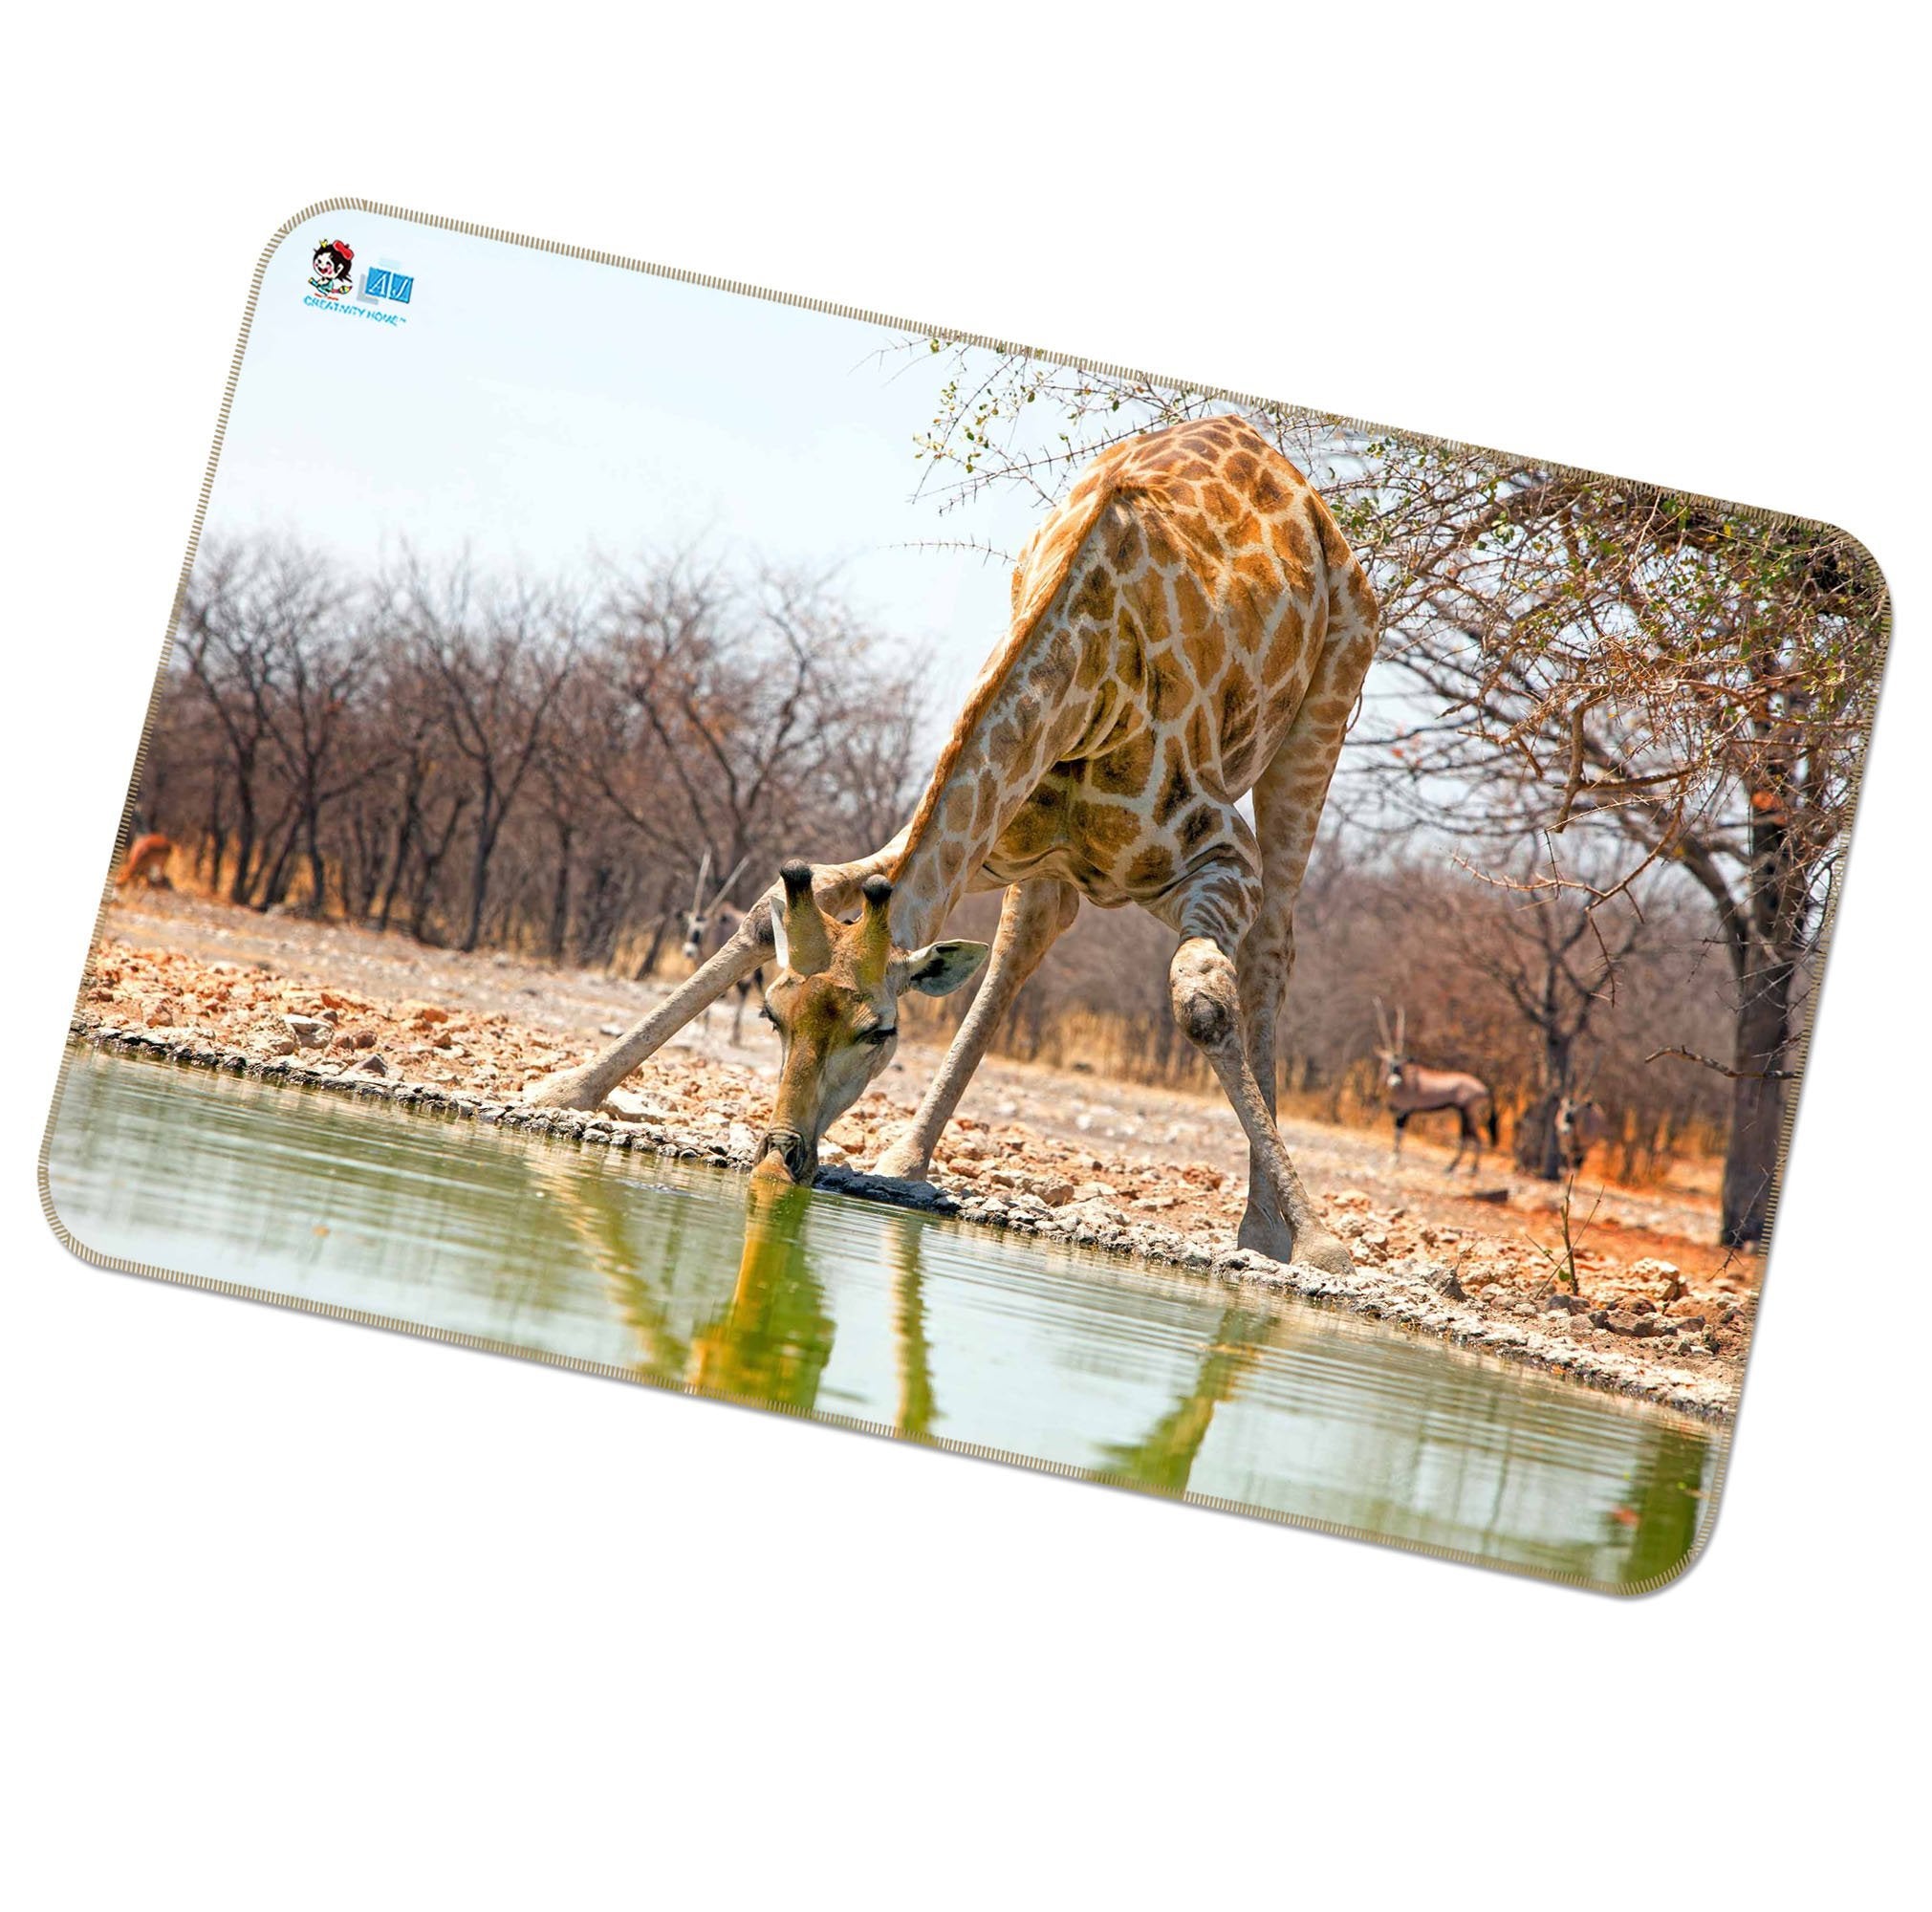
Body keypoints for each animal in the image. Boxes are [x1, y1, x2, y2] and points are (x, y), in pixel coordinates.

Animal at [527, 414, 1379, 1274]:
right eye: (773, 1016)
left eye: (881, 1032)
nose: (780, 1158)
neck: (1086, 681)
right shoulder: (977, 840)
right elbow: (784, 901)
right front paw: (564, 1092)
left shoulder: (1218, 858)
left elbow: (1201, 997)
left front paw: (1318, 1243)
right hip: (1048, 862)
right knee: (1025, 937)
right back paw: (907, 1158)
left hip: (1324, 713)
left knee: (1270, 947)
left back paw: (1265, 1228)